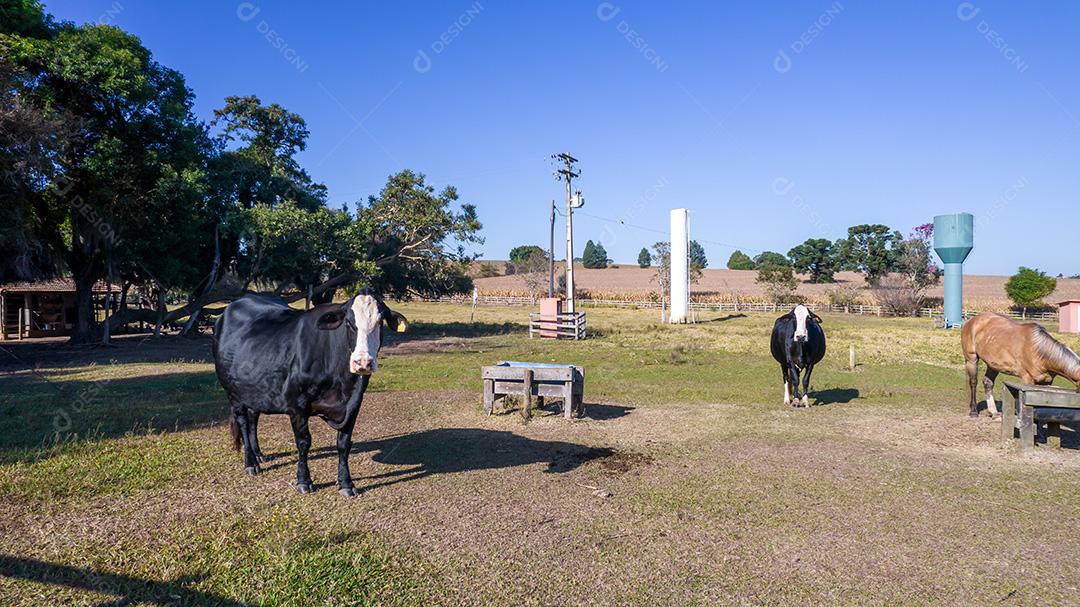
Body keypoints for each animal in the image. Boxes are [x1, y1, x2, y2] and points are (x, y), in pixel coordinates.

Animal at [212, 289, 407, 496]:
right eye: (349, 322)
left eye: (380, 322)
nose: (363, 362)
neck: (342, 383)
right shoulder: (297, 405)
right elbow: (304, 442)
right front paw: (304, 481)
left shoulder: (354, 404)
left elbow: (344, 444)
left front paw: (346, 483)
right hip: (234, 394)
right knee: (242, 422)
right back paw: (251, 463)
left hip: (255, 389)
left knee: (253, 418)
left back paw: (259, 455)